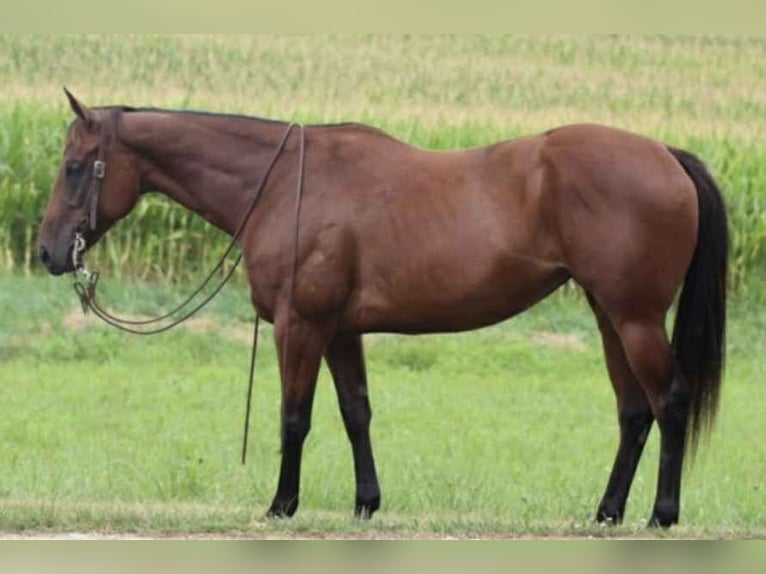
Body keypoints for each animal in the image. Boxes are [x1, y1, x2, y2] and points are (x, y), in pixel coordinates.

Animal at [37, 90, 727, 527]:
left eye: (74, 167)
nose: (47, 250)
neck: (284, 183)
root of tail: (666, 155)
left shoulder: (302, 326)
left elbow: (294, 418)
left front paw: (281, 505)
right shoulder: (341, 332)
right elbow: (356, 414)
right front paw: (366, 502)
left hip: (635, 318)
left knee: (669, 402)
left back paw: (661, 515)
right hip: (610, 315)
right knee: (634, 410)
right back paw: (607, 512)